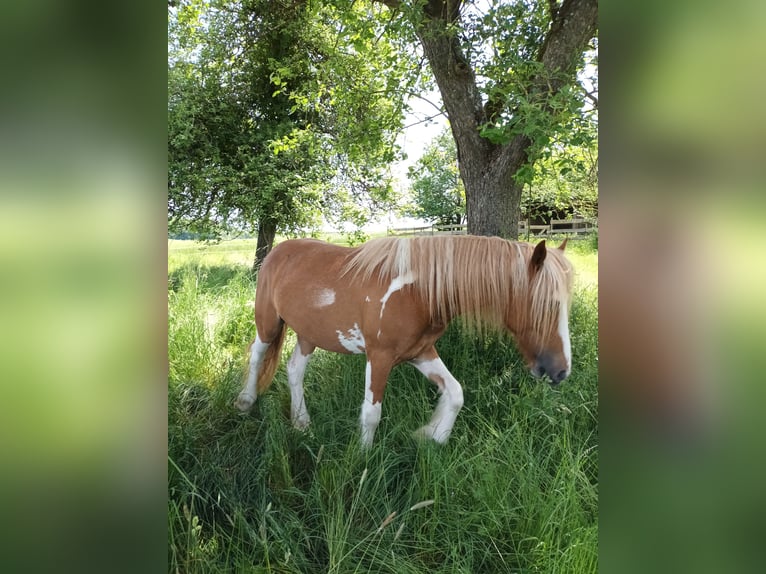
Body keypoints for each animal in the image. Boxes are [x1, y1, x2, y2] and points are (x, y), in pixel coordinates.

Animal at [235, 235, 574, 447]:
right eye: (548, 304)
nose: (561, 371)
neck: (418, 292)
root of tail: (277, 251)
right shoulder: (379, 357)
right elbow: (371, 415)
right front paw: (362, 462)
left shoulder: (420, 352)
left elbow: (455, 393)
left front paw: (432, 437)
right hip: (268, 323)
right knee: (257, 354)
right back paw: (246, 401)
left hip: (309, 333)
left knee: (295, 369)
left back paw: (301, 422)